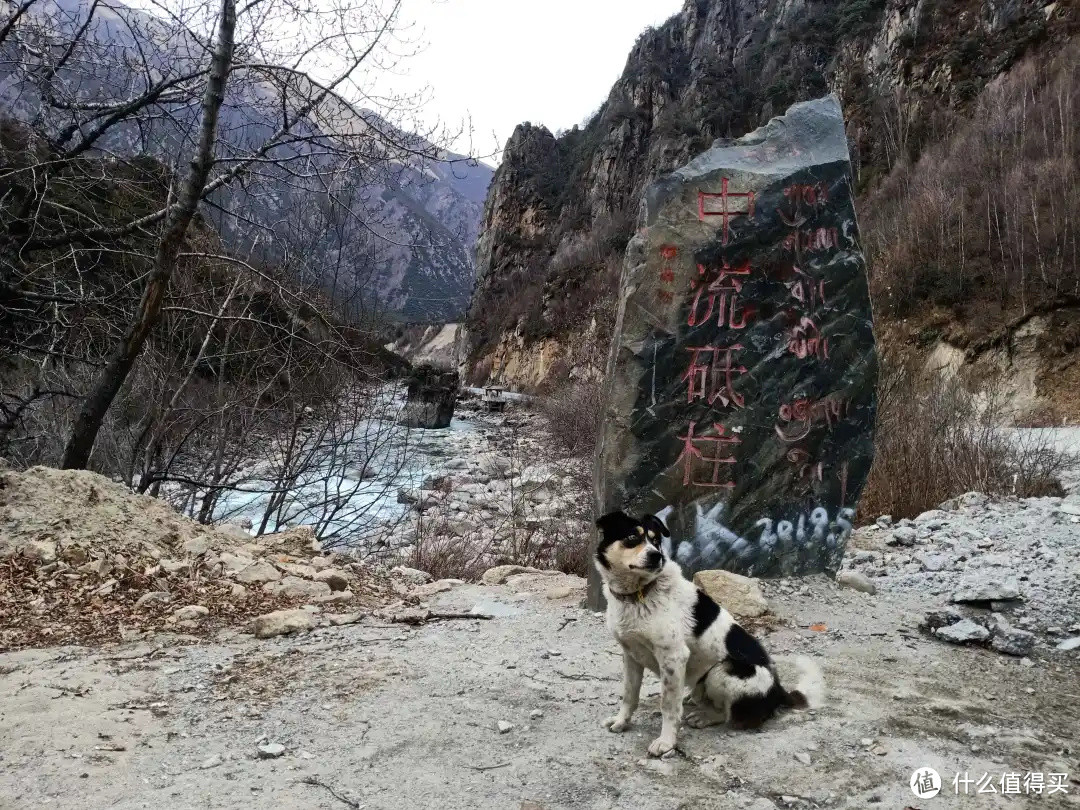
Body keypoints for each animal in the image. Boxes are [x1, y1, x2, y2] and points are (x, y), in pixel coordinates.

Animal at [596, 509, 820, 760]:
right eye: (632, 538)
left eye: (656, 541)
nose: (657, 557)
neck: (638, 595)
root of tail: (778, 691)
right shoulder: (631, 654)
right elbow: (629, 694)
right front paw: (622, 721)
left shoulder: (673, 656)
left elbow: (669, 706)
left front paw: (667, 742)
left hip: (722, 671)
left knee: (727, 714)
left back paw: (704, 716)